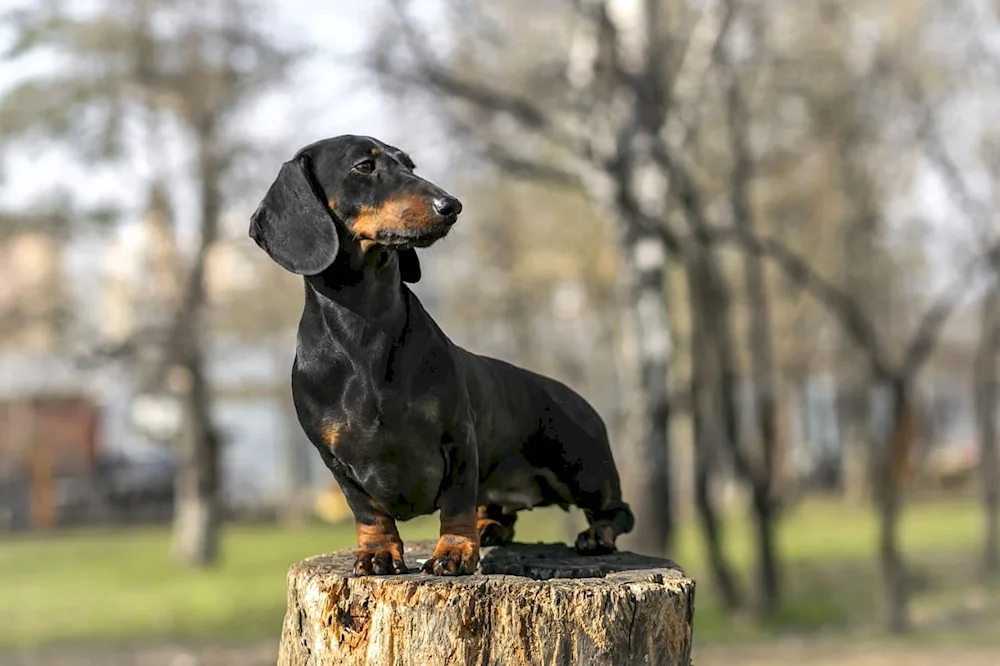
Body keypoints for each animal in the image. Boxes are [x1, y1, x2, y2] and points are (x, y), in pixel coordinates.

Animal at [254, 132, 636, 572]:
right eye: (364, 166)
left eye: (410, 165)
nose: (451, 205)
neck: (363, 331)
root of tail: (579, 399)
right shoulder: (333, 459)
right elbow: (367, 511)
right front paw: (378, 553)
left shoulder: (458, 437)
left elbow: (456, 502)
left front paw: (454, 552)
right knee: (501, 511)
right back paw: (489, 525)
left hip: (584, 474)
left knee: (619, 512)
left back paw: (595, 535)